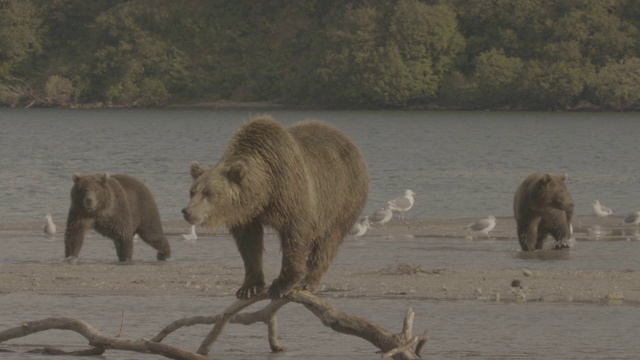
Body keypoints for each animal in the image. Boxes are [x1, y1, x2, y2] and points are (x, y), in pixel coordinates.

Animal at [182, 116, 368, 300]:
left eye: (209, 193)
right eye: (192, 191)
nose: (187, 212)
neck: (265, 190)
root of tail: (351, 142)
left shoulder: (290, 190)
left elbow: (295, 235)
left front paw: (281, 285)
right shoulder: (247, 214)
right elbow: (249, 243)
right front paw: (248, 287)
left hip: (343, 197)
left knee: (328, 241)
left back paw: (308, 281)